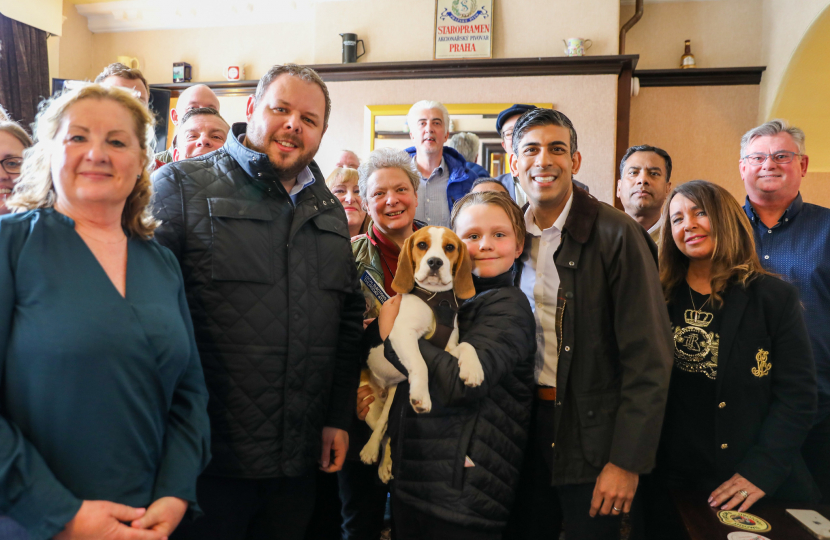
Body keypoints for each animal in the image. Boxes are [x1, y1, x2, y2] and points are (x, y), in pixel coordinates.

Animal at [360, 225, 484, 480]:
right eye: (422, 245)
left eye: (450, 247)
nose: (435, 262)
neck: (437, 301)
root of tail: (383, 389)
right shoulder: (401, 335)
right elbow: (420, 363)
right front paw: (421, 396)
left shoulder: (448, 347)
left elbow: (467, 346)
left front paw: (473, 370)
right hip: (368, 402)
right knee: (381, 428)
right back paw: (370, 450)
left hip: (393, 396)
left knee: (387, 428)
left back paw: (385, 463)